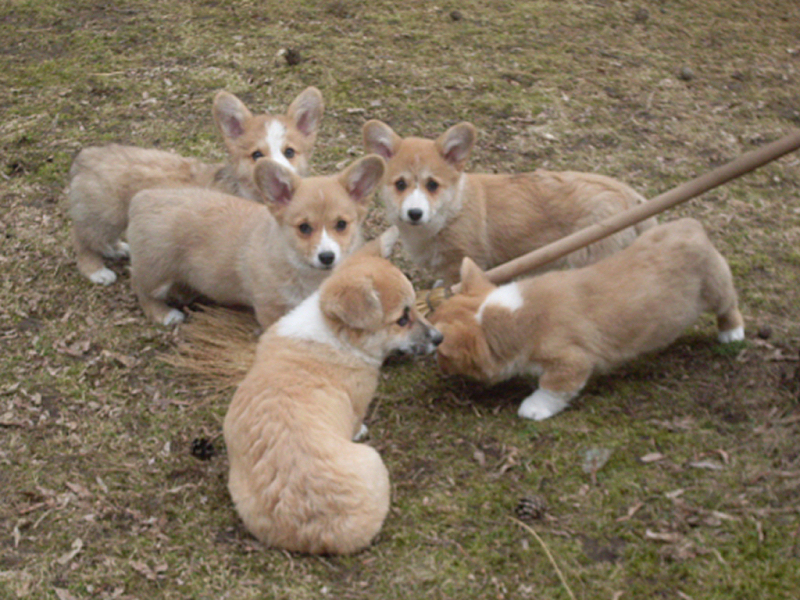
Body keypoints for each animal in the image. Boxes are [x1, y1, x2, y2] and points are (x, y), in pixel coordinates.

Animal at [65, 86, 322, 286]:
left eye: (289, 152)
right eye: (257, 155)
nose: (280, 175)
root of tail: (86, 157)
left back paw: (117, 248)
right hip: (105, 217)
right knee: (81, 240)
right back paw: (96, 271)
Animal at [127, 152, 384, 326]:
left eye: (341, 225)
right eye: (304, 228)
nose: (327, 257)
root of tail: (143, 197)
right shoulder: (270, 308)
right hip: (155, 271)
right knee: (140, 289)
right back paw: (164, 314)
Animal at [362, 119, 656, 286]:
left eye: (432, 185)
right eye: (400, 185)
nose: (414, 213)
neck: (449, 215)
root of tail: (631, 196)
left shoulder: (462, 265)